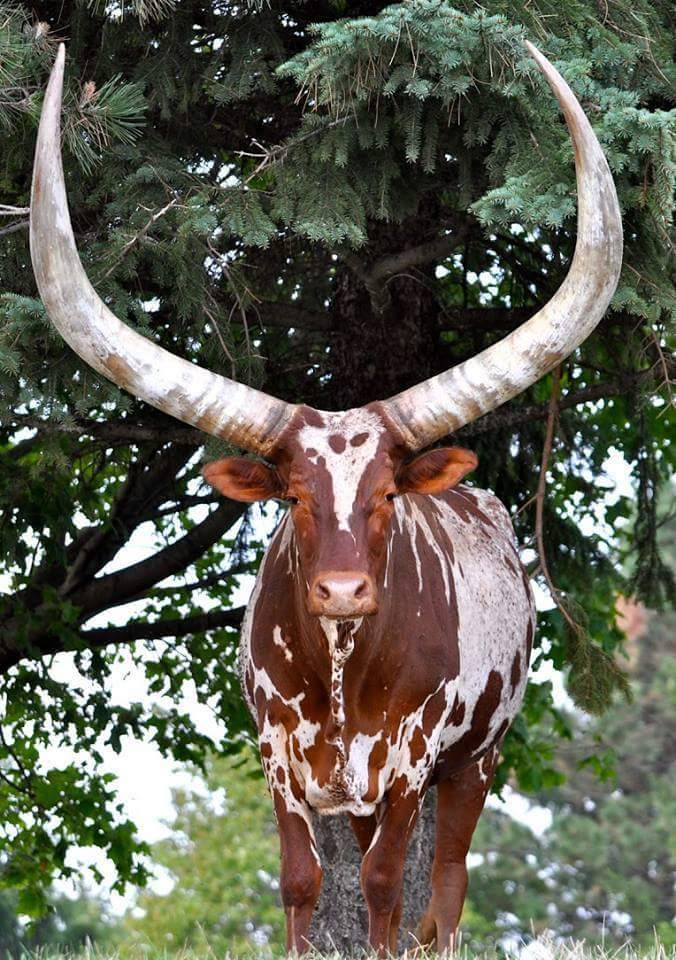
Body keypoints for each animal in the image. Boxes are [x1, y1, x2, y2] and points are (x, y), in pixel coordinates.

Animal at [30, 40, 622, 955]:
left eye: (385, 496)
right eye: (295, 497)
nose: (343, 591)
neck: (343, 665)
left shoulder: (412, 762)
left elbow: (383, 886)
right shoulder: (281, 760)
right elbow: (303, 882)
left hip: (476, 759)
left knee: (445, 885)